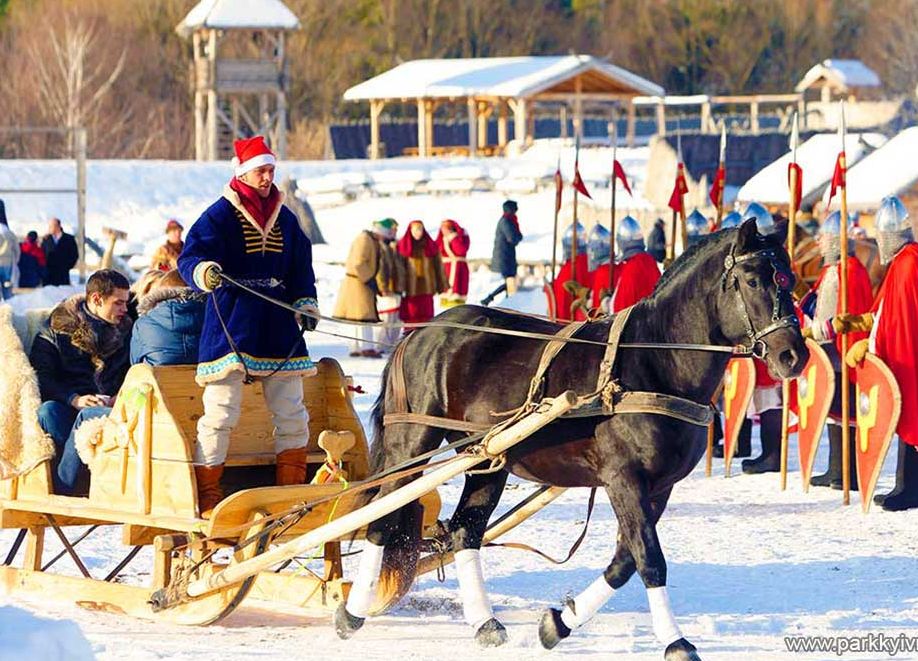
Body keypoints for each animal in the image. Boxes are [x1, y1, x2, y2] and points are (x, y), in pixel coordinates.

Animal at [336, 219, 804, 656]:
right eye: (752, 280)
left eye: (790, 280)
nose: (793, 356)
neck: (655, 361)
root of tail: (421, 332)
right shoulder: (624, 479)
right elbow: (650, 559)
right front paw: (675, 642)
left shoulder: (659, 486)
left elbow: (624, 562)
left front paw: (558, 623)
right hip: (413, 440)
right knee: (381, 516)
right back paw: (352, 612)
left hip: (487, 457)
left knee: (465, 531)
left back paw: (485, 622)